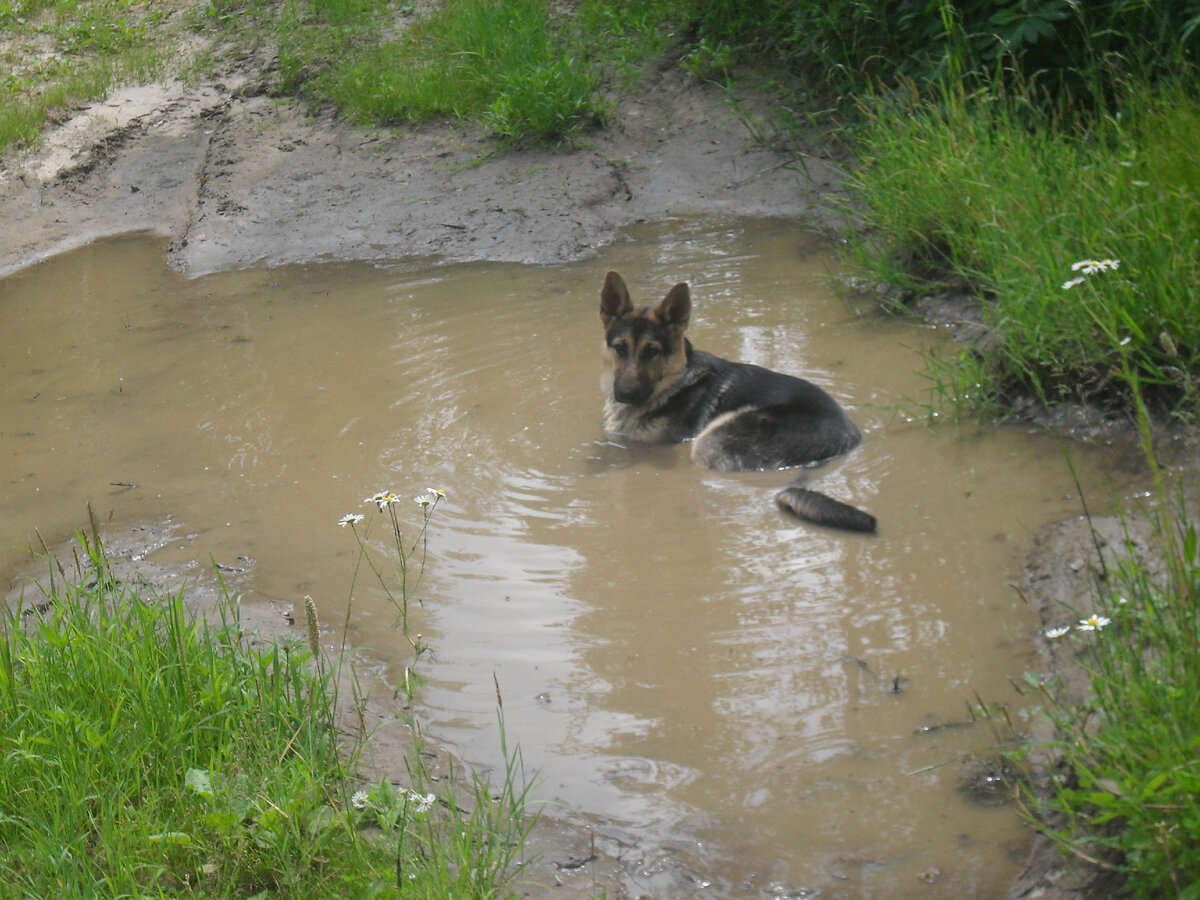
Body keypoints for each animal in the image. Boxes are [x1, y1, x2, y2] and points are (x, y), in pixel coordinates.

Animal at [598, 270, 877, 533]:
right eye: (620, 348)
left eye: (652, 351)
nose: (625, 394)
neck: (673, 383)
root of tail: (847, 438)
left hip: (710, 441)